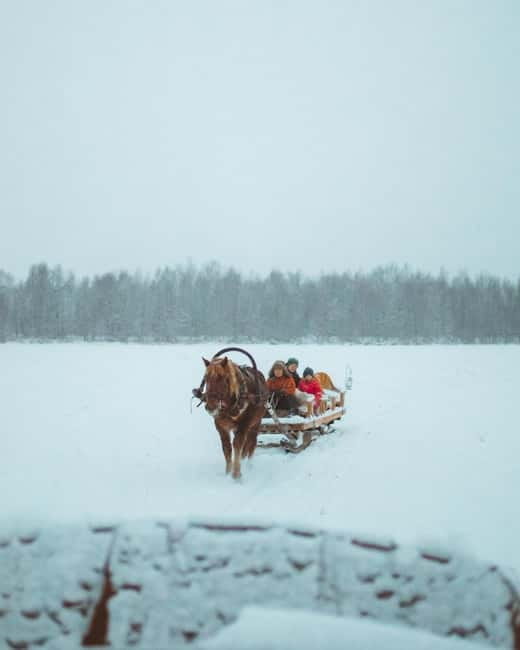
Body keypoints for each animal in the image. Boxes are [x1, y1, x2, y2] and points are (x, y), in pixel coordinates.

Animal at [196, 350, 268, 480]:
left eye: (223, 378)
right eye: (206, 378)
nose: (211, 406)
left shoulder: (244, 424)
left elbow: (237, 445)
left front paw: (236, 474)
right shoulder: (220, 426)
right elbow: (227, 448)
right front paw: (228, 472)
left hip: (256, 423)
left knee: (252, 442)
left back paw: (249, 464)